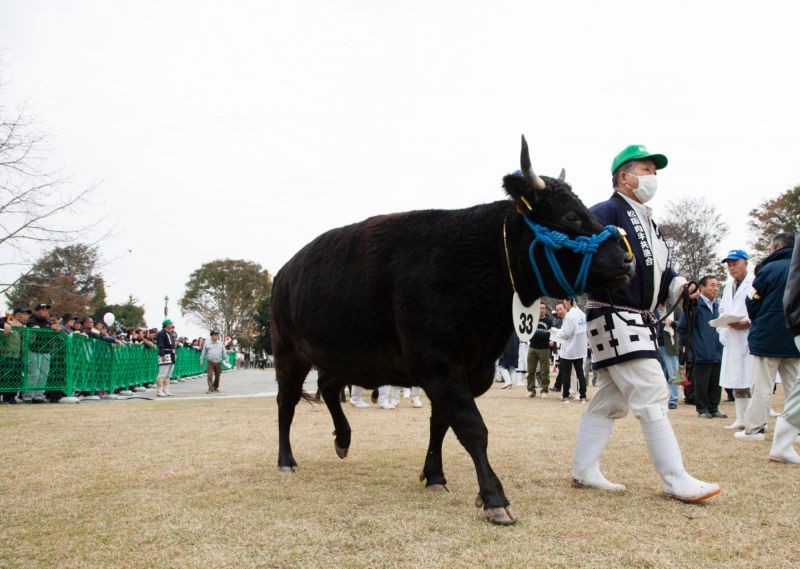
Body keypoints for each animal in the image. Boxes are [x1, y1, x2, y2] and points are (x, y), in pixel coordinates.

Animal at [272, 140, 636, 524]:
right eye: (570, 216)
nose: (627, 260)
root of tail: (284, 271)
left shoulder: (466, 369)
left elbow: (442, 423)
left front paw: (434, 475)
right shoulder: (437, 363)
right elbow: (472, 426)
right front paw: (494, 497)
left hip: (339, 355)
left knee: (328, 386)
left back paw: (343, 440)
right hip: (289, 352)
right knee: (287, 402)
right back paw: (286, 460)